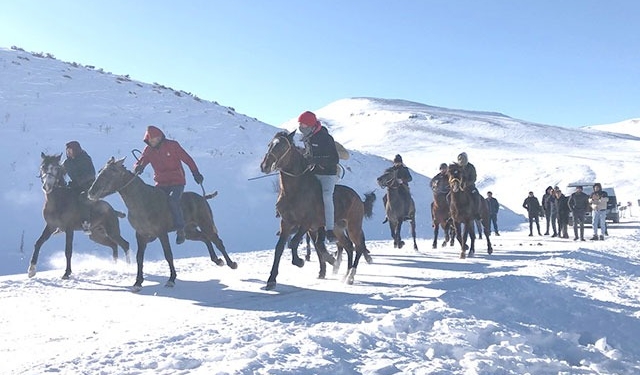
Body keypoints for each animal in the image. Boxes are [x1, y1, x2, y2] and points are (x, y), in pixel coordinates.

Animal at [87, 156, 238, 290]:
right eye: (100, 171)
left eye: (109, 173)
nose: (91, 192)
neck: (142, 201)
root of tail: (202, 197)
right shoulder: (140, 235)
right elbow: (139, 257)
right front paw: (138, 282)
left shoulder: (161, 233)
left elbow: (168, 255)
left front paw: (171, 279)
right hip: (190, 231)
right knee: (205, 238)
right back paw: (217, 260)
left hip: (206, 223)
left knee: (217, 241)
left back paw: (231, 263)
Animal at [258, 131, 376, 290]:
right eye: (270, 144)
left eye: (282, 146)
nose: (265, 166)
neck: (295, 191)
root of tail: (358, 199)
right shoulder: (286, 223)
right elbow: (279, 248)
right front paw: (271, 280)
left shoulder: (306, 223)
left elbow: (294, 242)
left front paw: (300, 261)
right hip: (338, 229)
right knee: (348, 246)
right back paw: (345, 274)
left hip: (353, 226)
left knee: (358, 247)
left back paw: (350, 276)